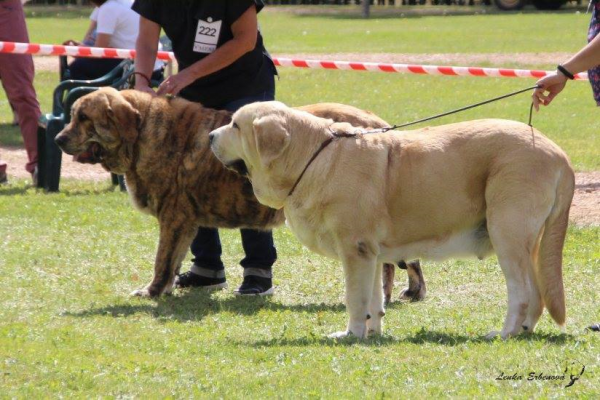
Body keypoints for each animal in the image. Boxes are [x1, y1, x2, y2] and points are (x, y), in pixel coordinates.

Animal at [54, 88, 424, 300]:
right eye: (72, 115)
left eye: (83, 117)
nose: (58, 139)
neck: (145, 130)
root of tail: (377, 122)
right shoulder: (185, 222)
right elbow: (174, 260)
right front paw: (170, 287)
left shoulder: (173, 218)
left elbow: (162, 260)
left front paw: (153, 291)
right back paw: (412, 291)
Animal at [209, 101, 576, 340]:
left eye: (236, 125)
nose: (211, 136)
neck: (313, 157)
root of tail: (559, 154)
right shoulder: (369, 253)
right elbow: (374, 298)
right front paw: (371, 332)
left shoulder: (355, 250)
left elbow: (355, 298)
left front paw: (351, 334)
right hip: (527, 243)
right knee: (537, 293)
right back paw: (523, 331)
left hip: (507, 234)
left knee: (522, 292)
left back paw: (503, 333)